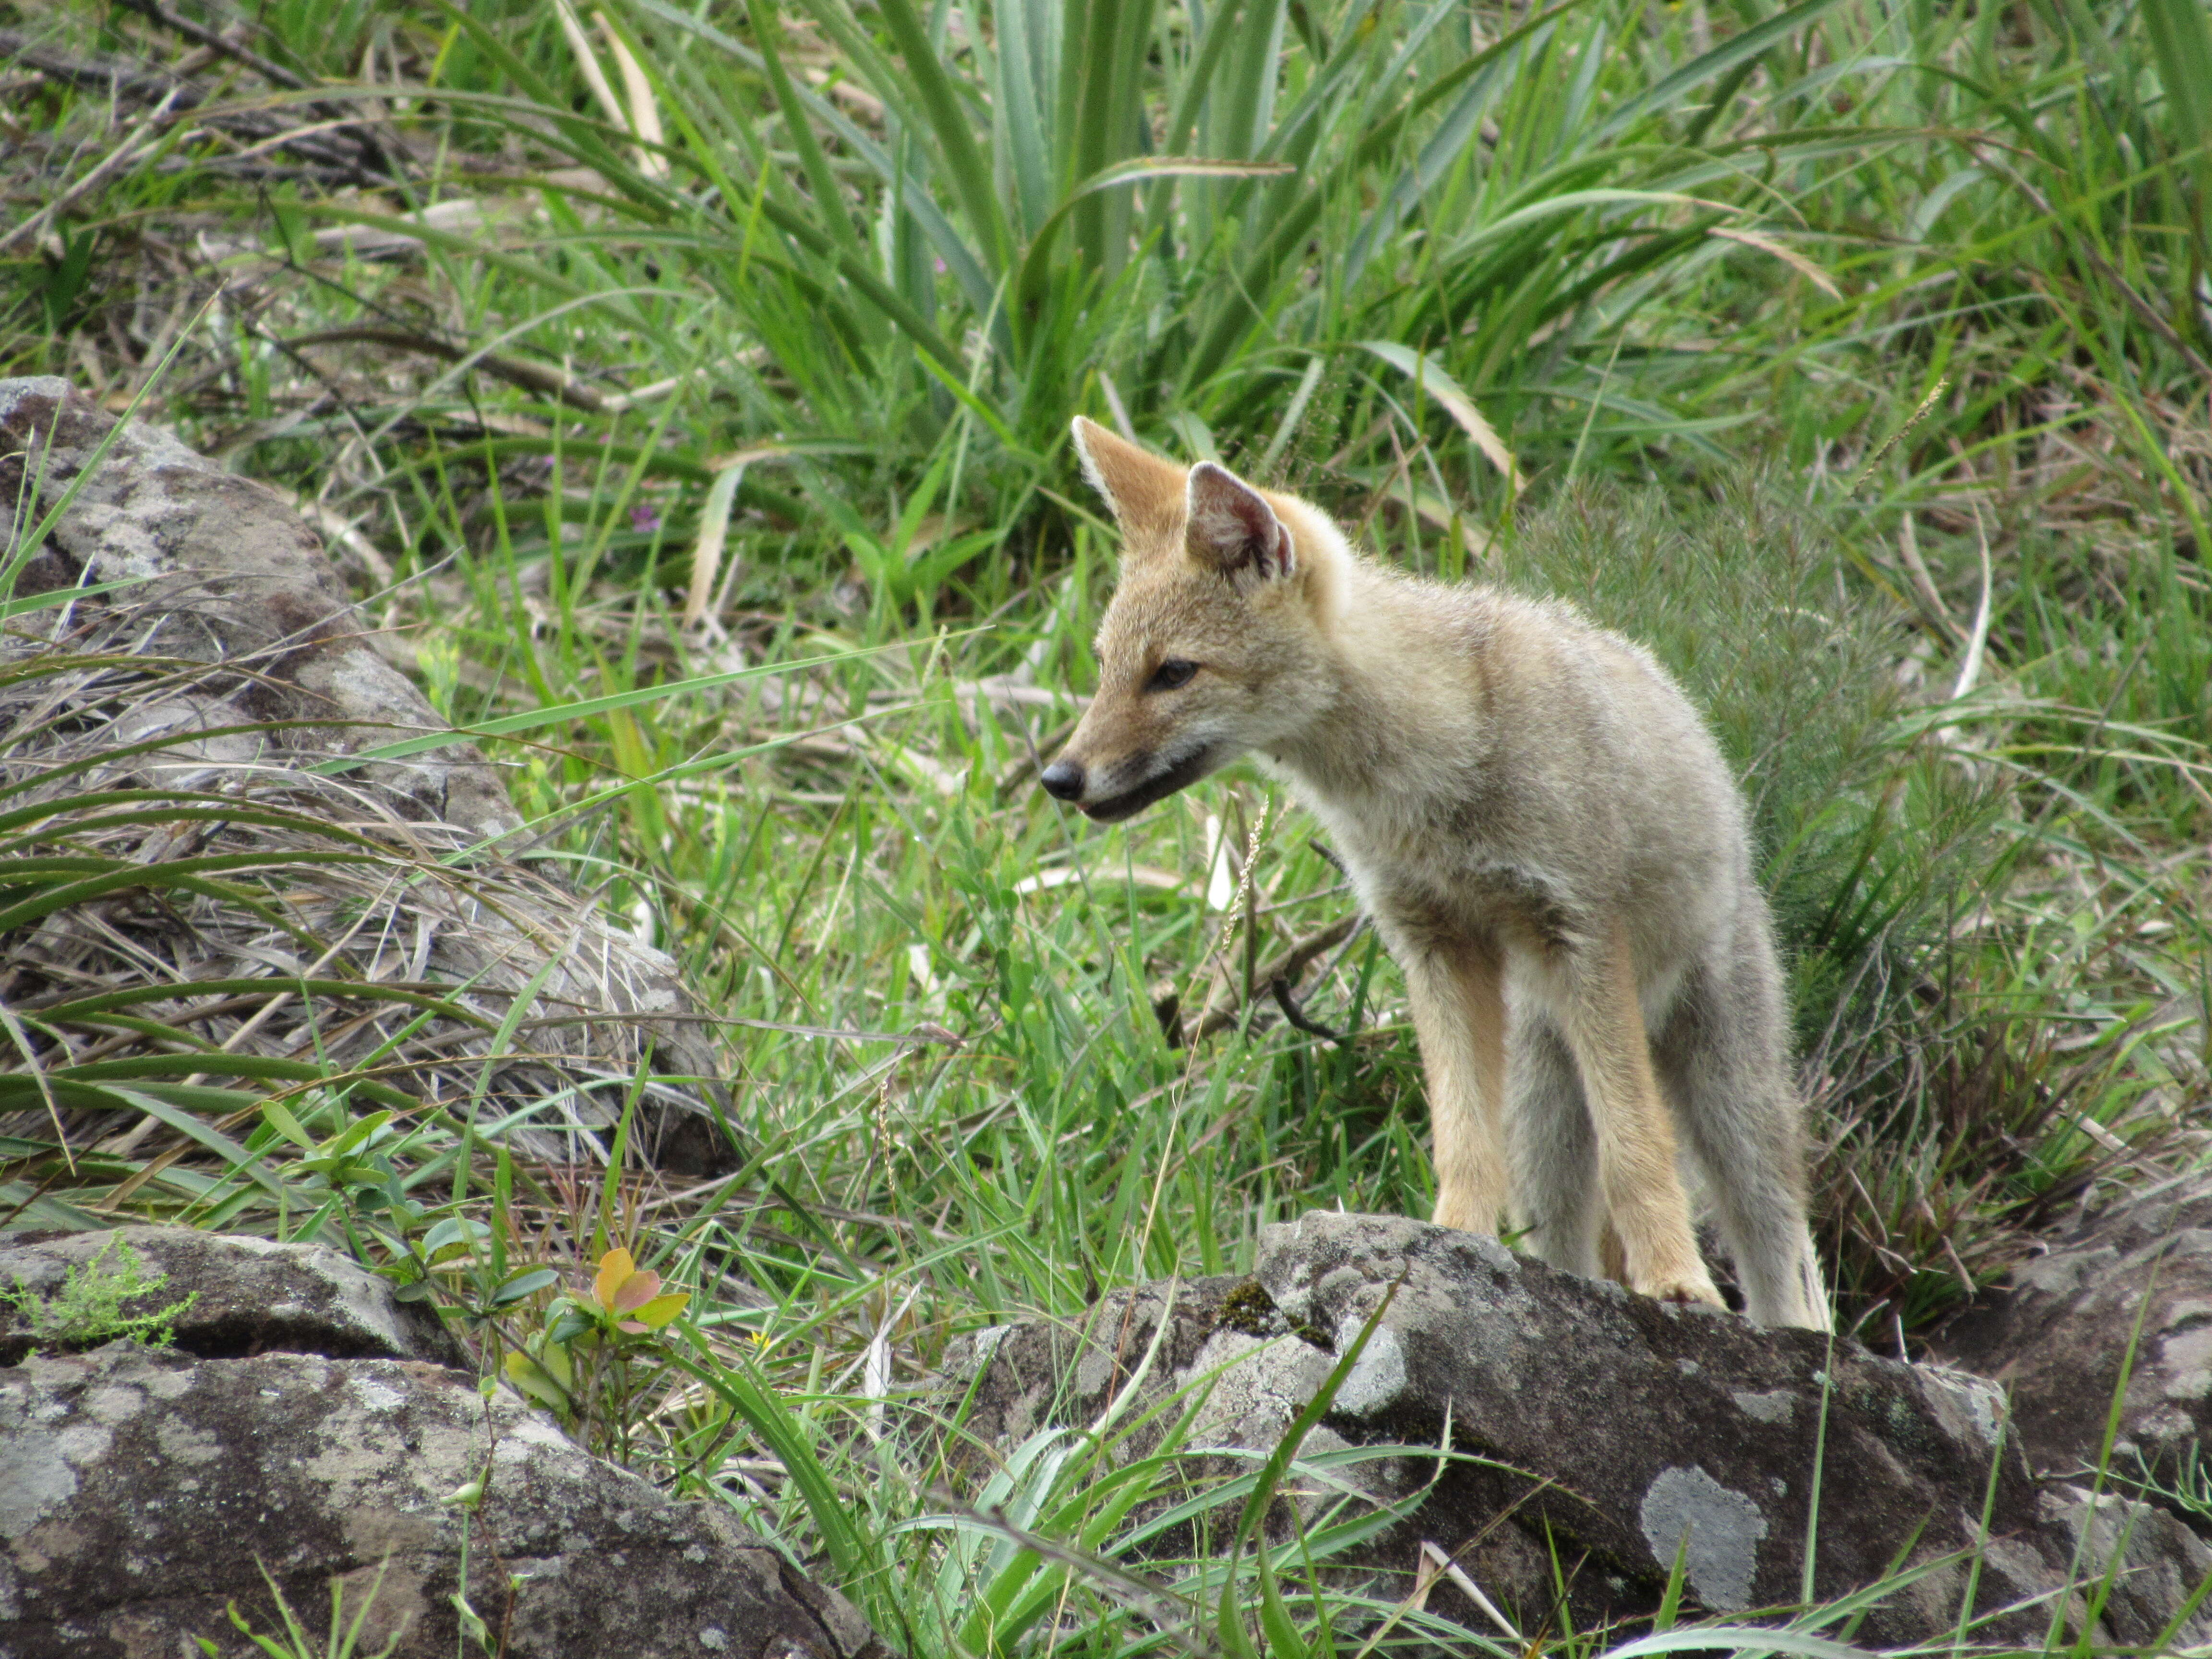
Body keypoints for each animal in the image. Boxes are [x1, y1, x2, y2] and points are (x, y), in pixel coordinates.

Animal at [1035, 418, 1831, 1336]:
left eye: (1172, 672)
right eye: (1104, 666)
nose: (1058, 778)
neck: (1429, 772)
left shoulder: (1580, 936)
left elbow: (1638, 1150)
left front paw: (1675, 1282)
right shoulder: (1434, 943)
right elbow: (1460, 1138)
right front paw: (1451, 1244)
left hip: (1728, 1106)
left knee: (1777, 1259)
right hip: (1545, 1121)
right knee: (1568, 1234)